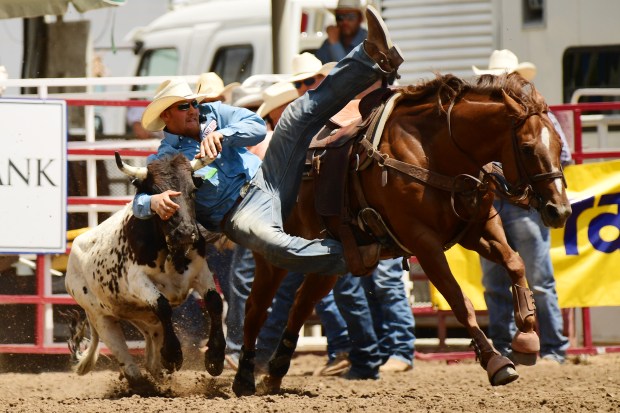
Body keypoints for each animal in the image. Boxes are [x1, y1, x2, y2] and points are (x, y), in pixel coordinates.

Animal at [232, 73, 572, 396]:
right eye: (527, 148)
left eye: (559, 144)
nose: (560, 210)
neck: (435, 151)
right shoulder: (424, 242)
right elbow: (459, 300)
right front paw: (496, 361)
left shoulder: (480, 230)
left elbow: (515, 263)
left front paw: (527, 336)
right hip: (271, 256)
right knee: (254, 309)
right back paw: (245, 377)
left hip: (328, 262)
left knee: (300, 306)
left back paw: (275, 373)